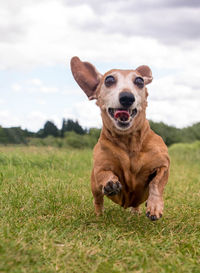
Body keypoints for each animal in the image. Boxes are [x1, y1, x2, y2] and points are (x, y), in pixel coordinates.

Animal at [70, 56, 170, 220]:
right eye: (109, 79)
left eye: (139, 81)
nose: (127, 97)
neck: (129, 142)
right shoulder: (100, 167)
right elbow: (105, 174)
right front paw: (110, 183)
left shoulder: (163, 165)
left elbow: (156, 183)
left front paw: (154, 206)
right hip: (94, 188)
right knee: (98, 201)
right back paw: (99, 214)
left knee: (136, 204)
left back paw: (136, 212)